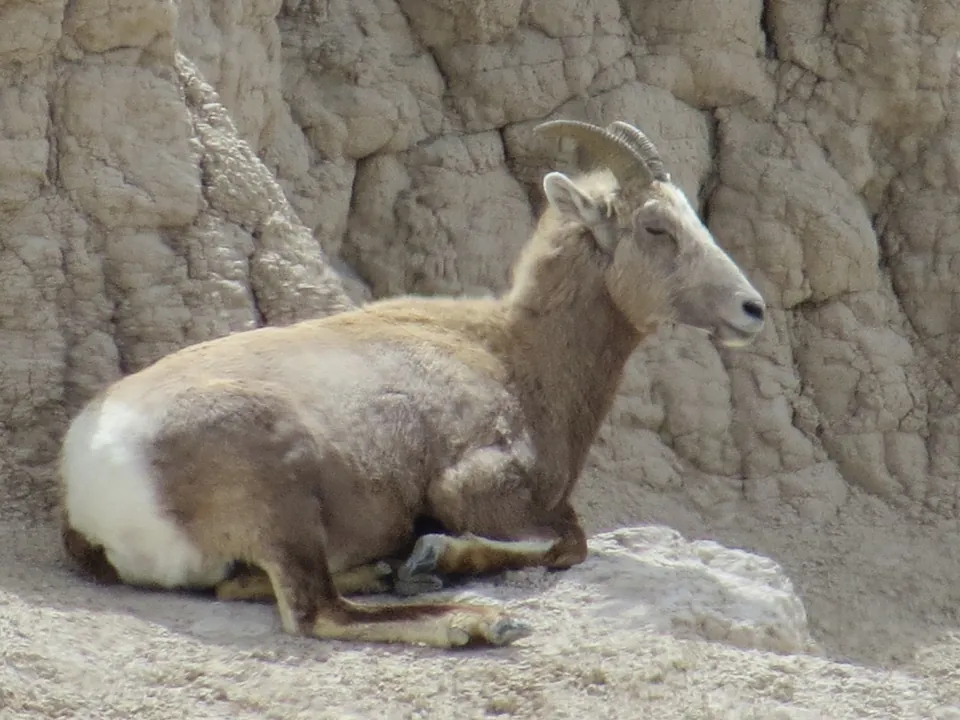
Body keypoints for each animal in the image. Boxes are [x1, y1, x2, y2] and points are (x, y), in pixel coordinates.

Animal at [58, 119, 766, 649]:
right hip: (281, 500)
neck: (514, 356)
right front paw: (434, 558)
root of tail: (96, 476)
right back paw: (478, 622)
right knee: (318, 614)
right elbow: (567, 541)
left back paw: (379, 569)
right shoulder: (473, 487)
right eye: (656, 227)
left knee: (246, 587)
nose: (751, 310)